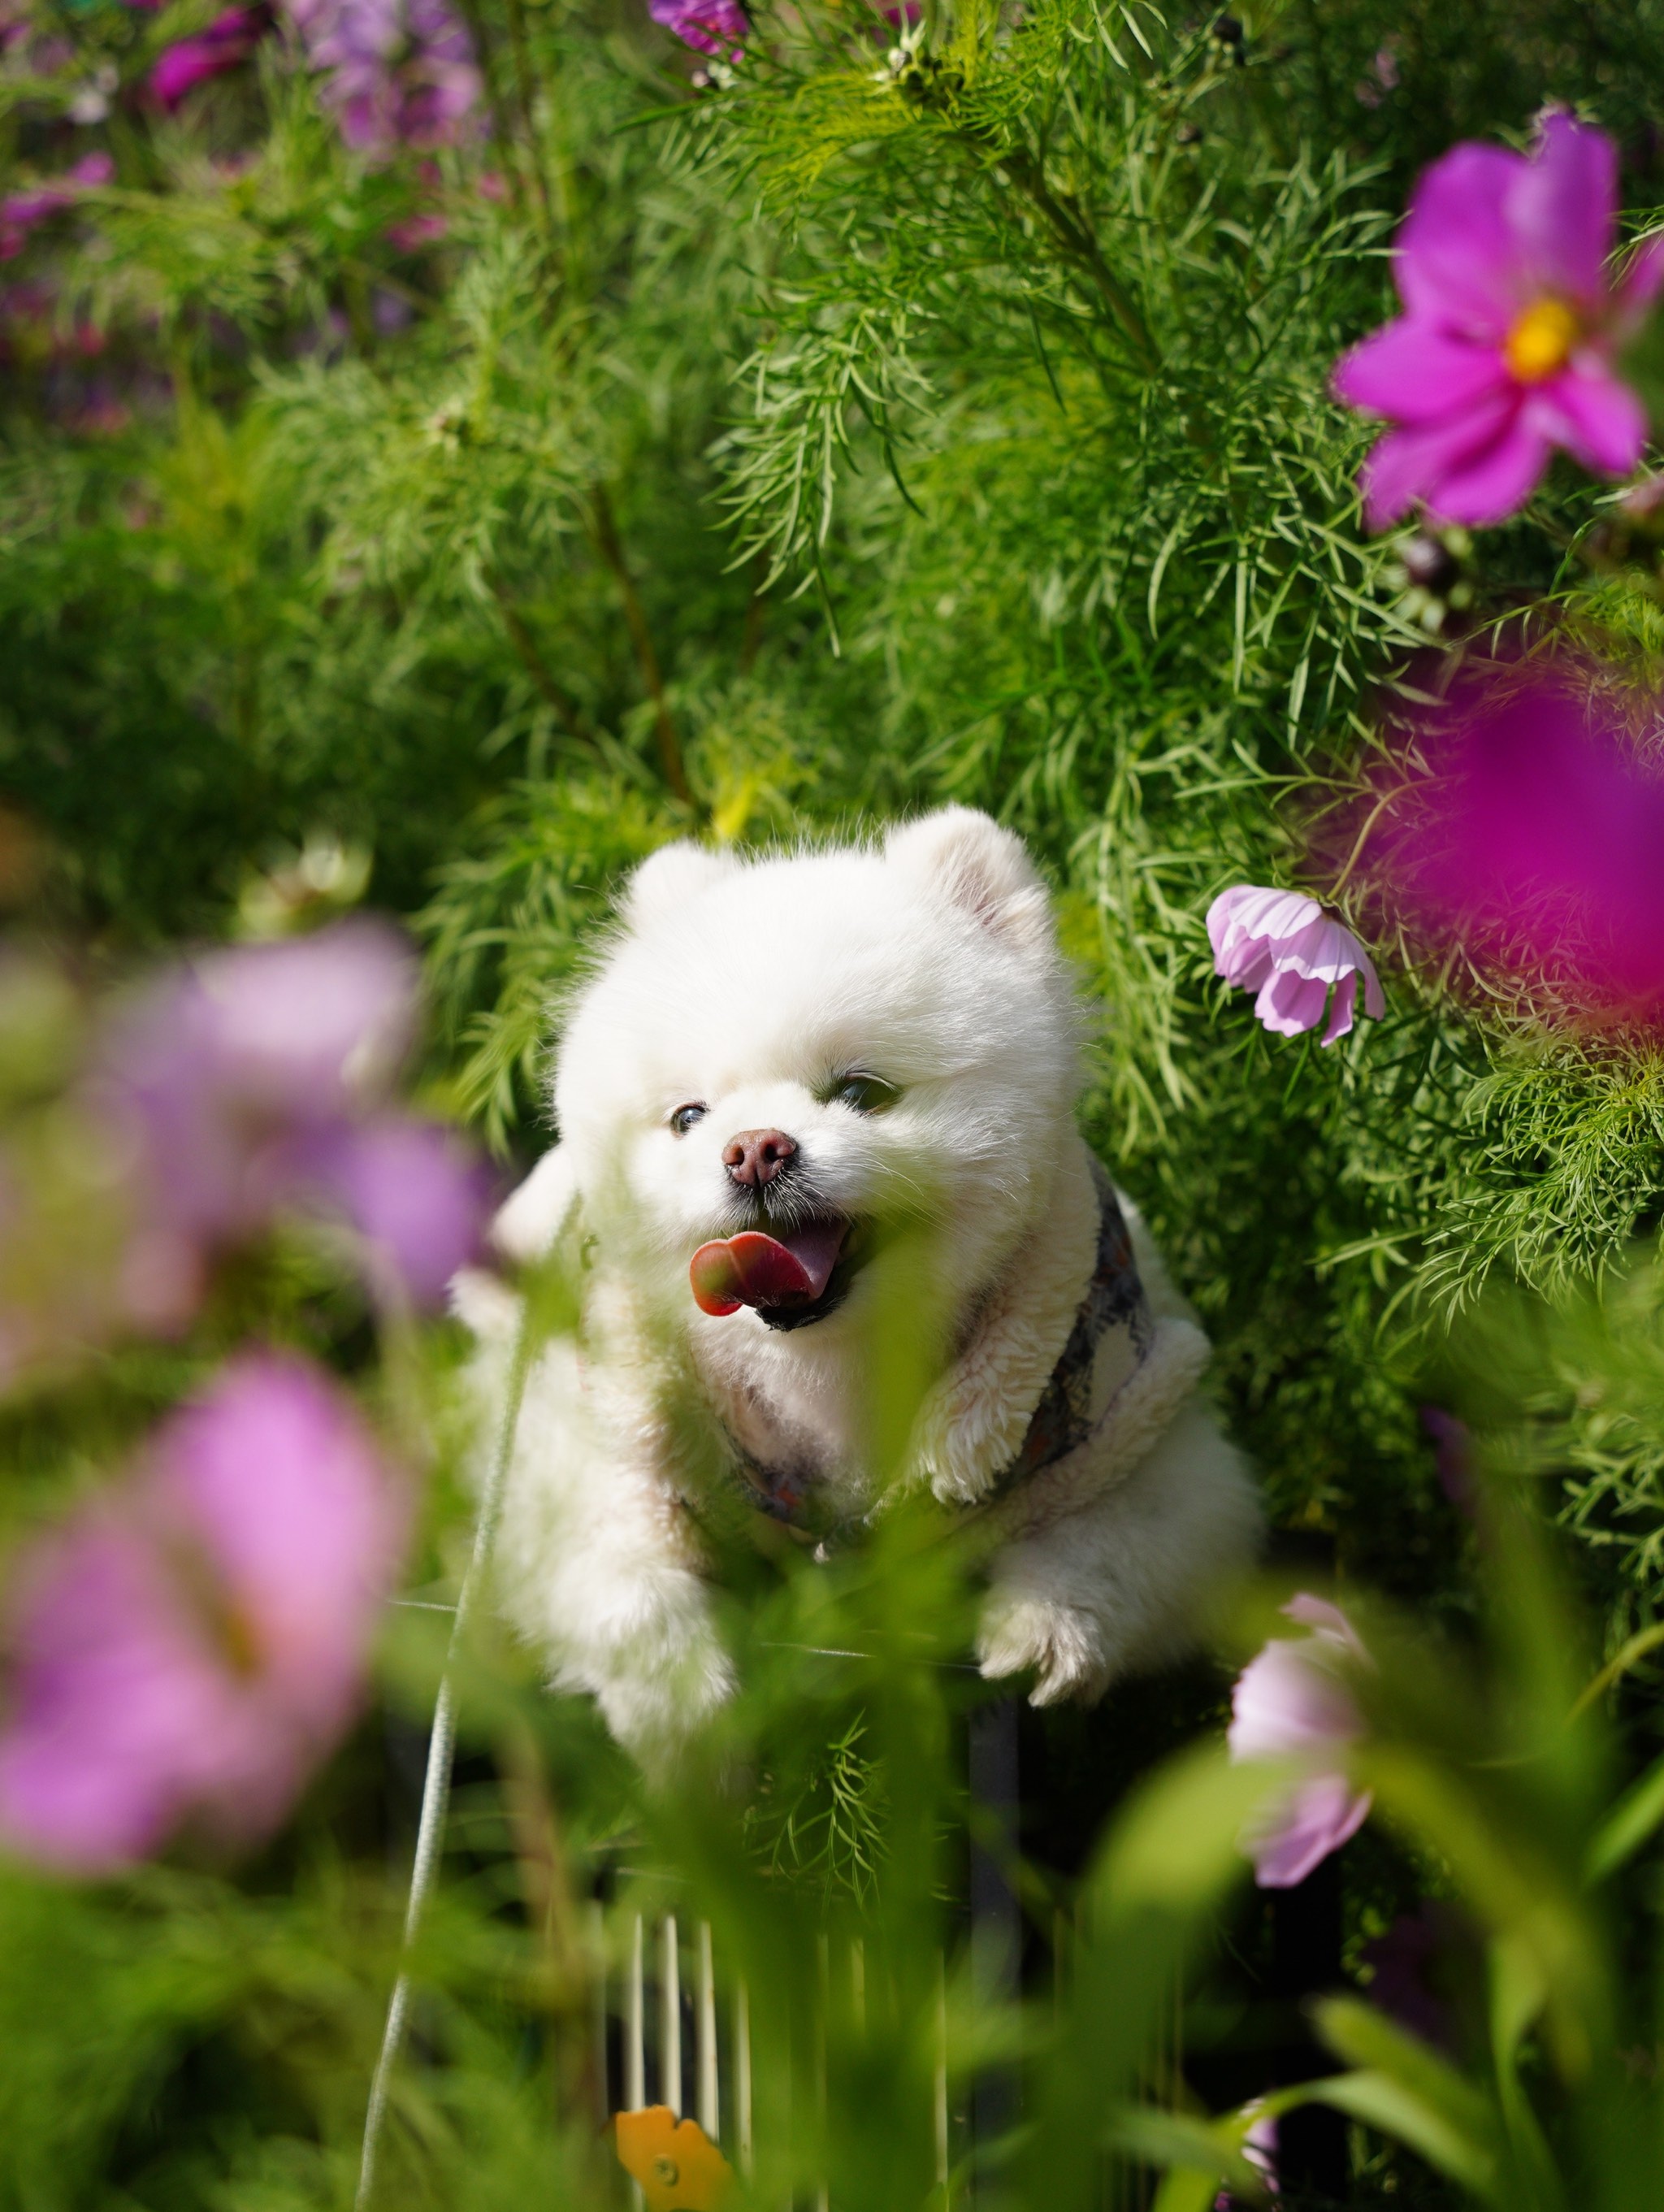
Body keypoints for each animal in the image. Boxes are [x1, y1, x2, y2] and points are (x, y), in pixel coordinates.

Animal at [448, 805, 1256, 1751]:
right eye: (688, 1117)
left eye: (863, 1093)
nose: (753, 1148)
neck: (832, 1365)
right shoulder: (583, 1441)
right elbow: (607, 1572)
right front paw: (678, 1691)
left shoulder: (1135, 1416)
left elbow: (1125, 1541)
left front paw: (1048, 1624)